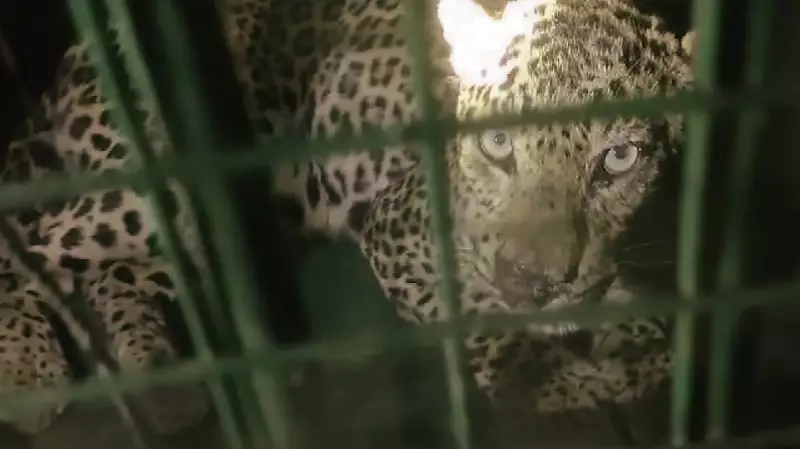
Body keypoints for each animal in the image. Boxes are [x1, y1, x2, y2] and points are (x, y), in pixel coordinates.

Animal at [0, 0, 694, 444]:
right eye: (497, 143)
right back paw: (30, 378)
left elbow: (659, 340)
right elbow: (481, 319)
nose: (537, 280)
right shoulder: (397, 229)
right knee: (29, 240)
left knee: (106, 271)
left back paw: (160, 377)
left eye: (621, 158)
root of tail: (81, 52)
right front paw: (542, 380)